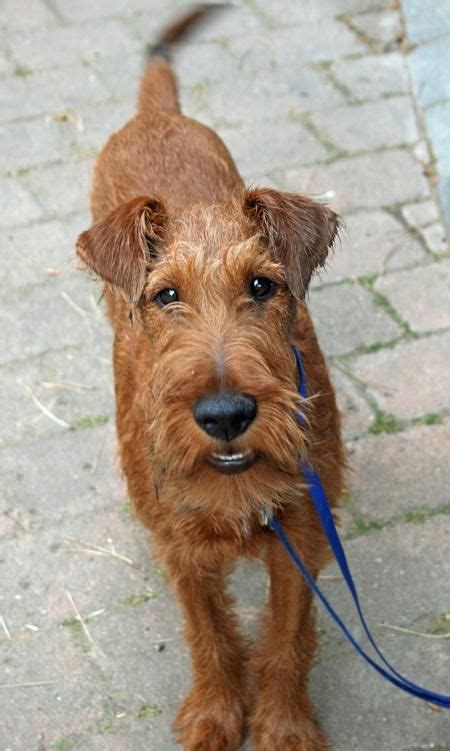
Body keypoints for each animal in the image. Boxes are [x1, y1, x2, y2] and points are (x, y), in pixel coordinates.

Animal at [76, 7, 344, 751]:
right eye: (166, 296)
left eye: (262, 285)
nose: (224, 414)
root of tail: (157, 114)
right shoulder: (182, 546)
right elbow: (211, 636)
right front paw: (218, 714)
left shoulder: (301, 533)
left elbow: (286, 640)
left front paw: (282, 724)